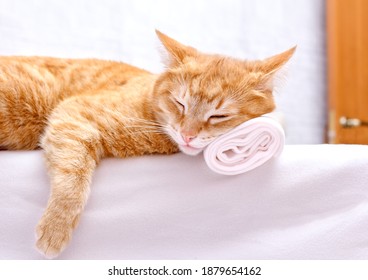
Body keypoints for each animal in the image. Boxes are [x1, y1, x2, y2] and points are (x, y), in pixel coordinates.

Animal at [0, 31, 294, 258]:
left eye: (218, 116)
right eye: (180, 103)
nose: (187, 134)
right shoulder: (74, 113)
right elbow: (72, 177)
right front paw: (56, 225)